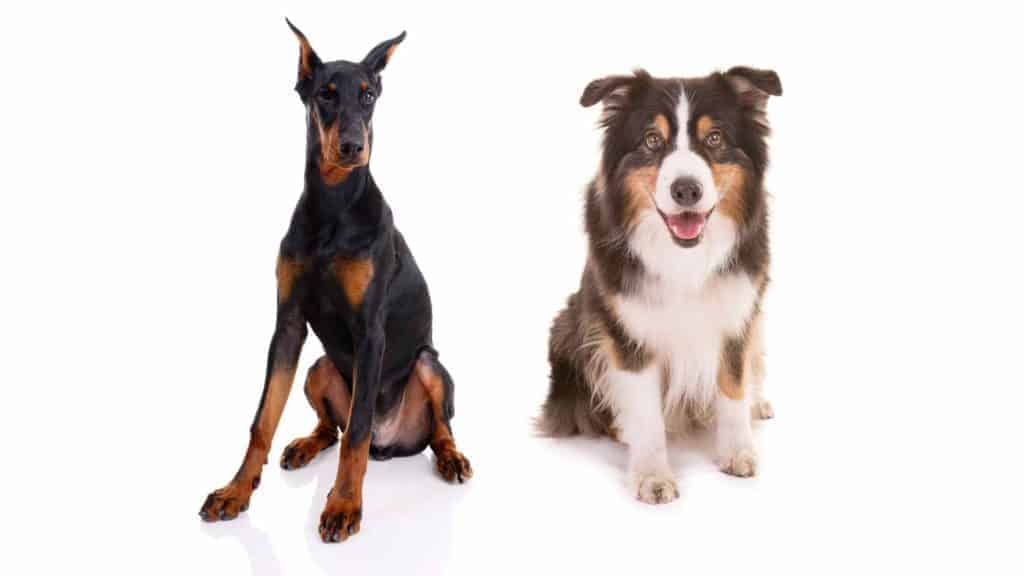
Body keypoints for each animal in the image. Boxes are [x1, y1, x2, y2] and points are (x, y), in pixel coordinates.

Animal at [199, 20, 471, 541]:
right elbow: (263, 420)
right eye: (325, 94)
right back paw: (305, 445)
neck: (332, 206)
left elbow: (358, 433)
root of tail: (391, 446)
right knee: (332, 427)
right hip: (319, 367)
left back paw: (451, 458)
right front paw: (235, 491)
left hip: (429, 366)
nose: (351, 147)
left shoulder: (371, 333)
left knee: (434, 428)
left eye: (367, 95)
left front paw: (344, 505)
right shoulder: (287, 326)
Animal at [540, 67, 778, 502]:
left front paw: (737, 451)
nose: (686, 189)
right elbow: (646, 412)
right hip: (568, 326)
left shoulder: (738, 315)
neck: (684, 257)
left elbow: (733, 387)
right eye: (652, 140)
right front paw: (652, 475)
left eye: (714, 138)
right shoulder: (627, 333)